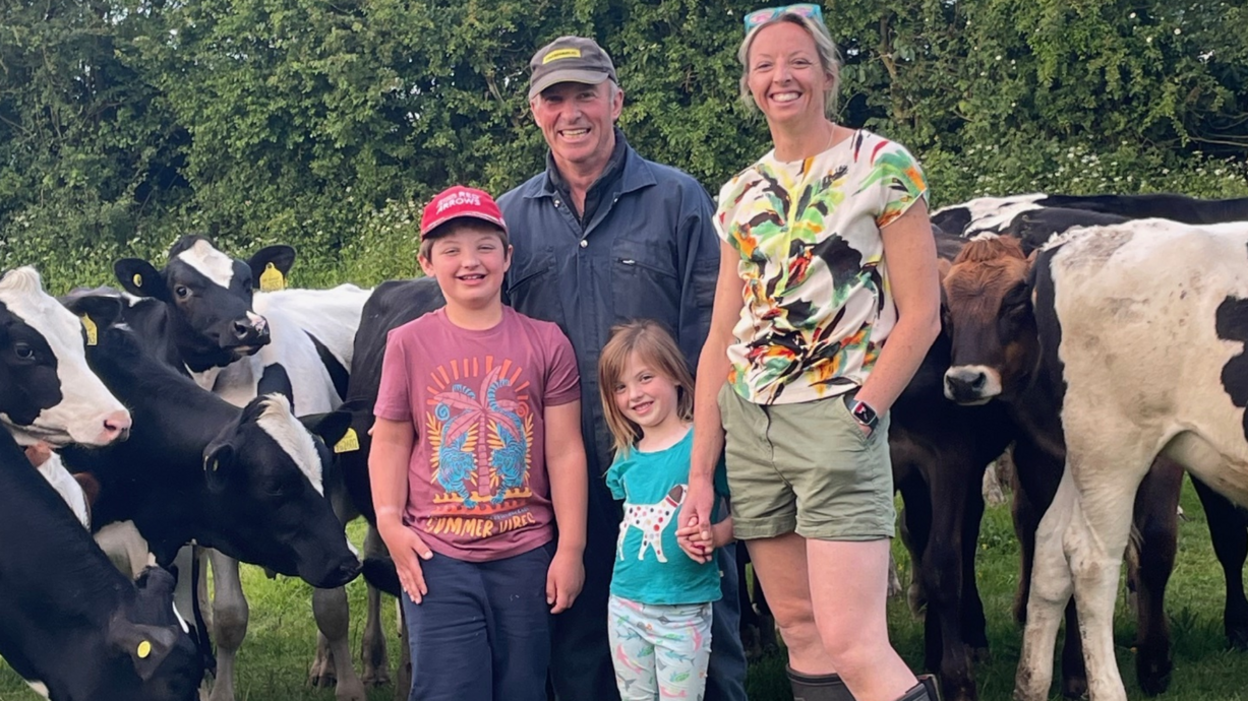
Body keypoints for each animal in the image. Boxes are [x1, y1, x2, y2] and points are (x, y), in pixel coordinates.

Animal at [117, 235, 374, 698]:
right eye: (182, 289)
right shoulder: (219, 513)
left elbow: (331, 603)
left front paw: (350, 690)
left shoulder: (325, 498)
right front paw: (219, 689)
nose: (251, 327)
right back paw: (322, 665)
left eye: (246, 280)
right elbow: (229, 616)